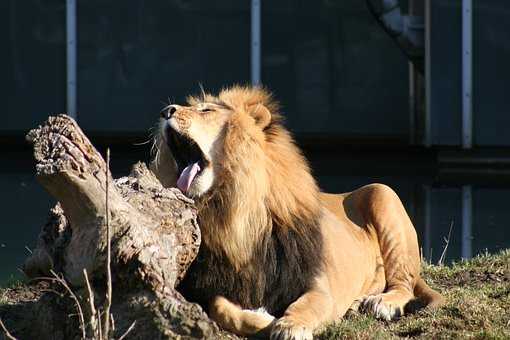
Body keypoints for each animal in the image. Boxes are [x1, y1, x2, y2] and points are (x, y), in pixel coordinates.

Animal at [149, 86, 444, 338]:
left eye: (206, 110)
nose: (165, 111)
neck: (237, 215)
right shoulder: (219, 285)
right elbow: (220, 308)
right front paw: (264, 318)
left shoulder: (317, 282)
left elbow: (306, 306)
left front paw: (290, 326)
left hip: (383, 193)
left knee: (404, 283)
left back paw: (382, 303)